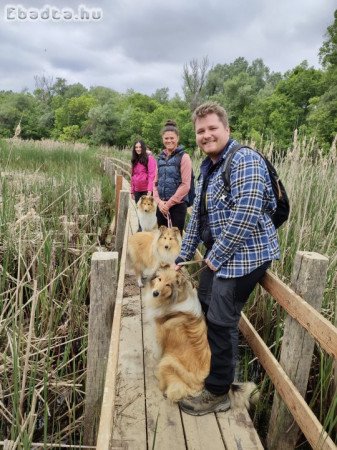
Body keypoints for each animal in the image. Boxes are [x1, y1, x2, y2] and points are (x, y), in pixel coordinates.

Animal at [143, 268, 258, 408]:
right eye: (159, 279)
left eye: (168, 285)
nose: (155, 293)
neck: (177, 298)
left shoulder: (159, 333)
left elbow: (157, 350)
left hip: (169, 361)